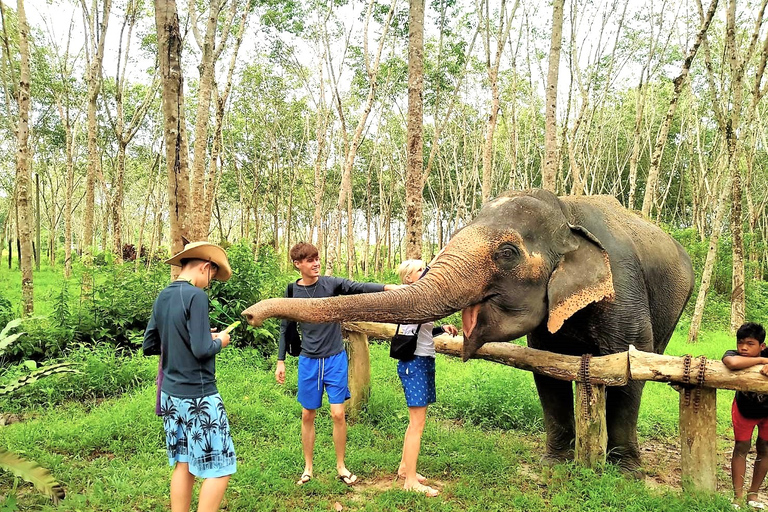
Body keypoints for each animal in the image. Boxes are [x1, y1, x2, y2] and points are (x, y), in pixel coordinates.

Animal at [246, 190, 696, 474]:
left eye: (507, 253)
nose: (249, 315)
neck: (567, 211)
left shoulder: (623, 288)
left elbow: (628, 371)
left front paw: (626, 473)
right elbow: (547, 372)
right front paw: (554, 464)